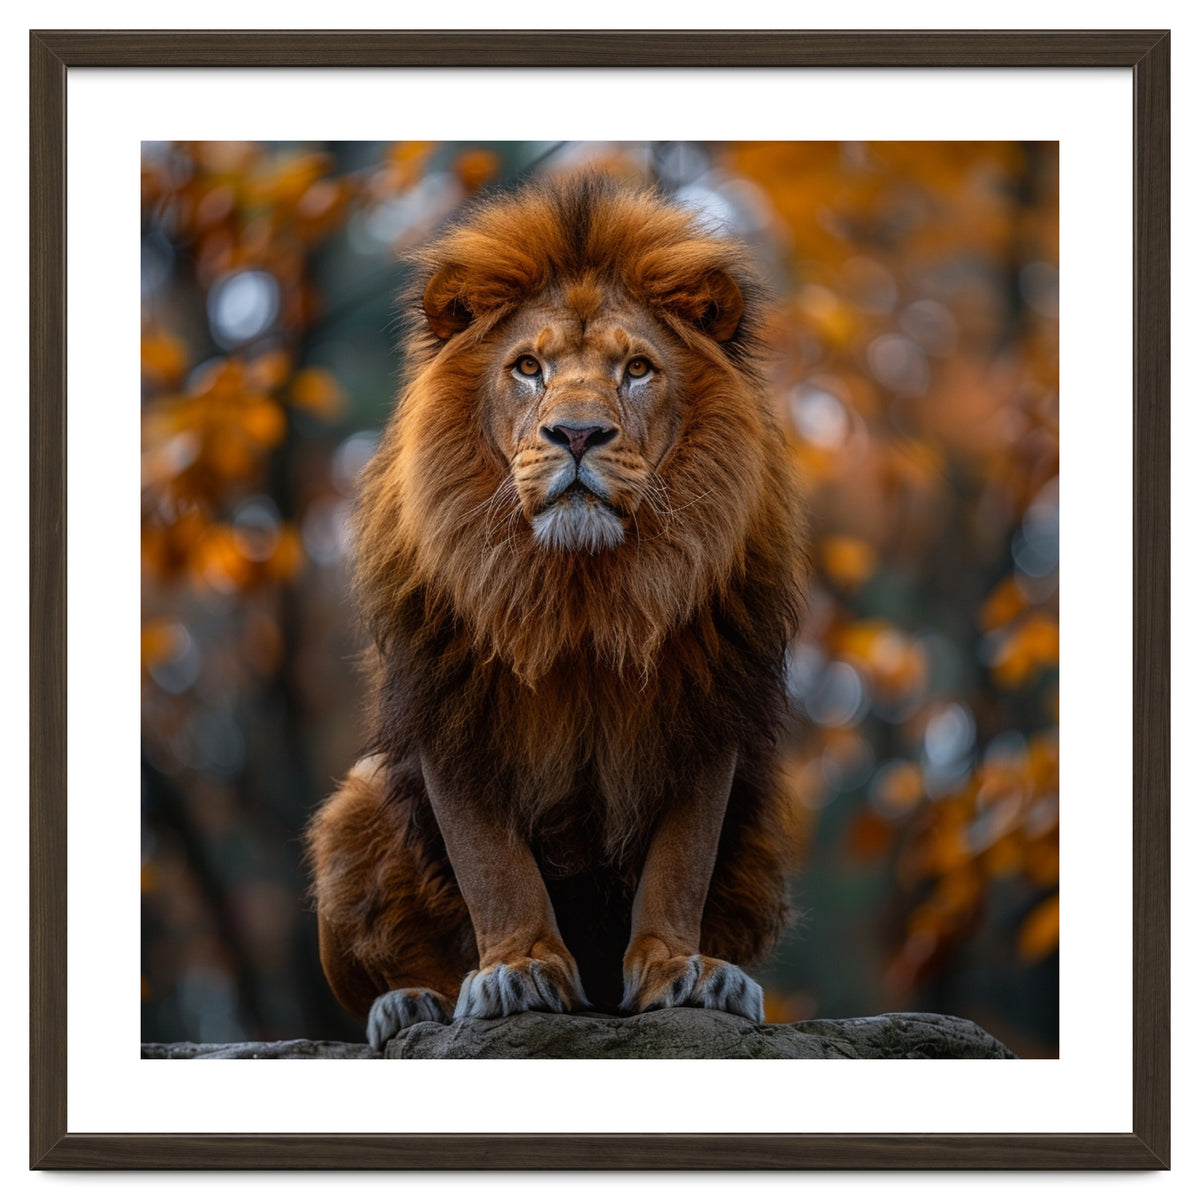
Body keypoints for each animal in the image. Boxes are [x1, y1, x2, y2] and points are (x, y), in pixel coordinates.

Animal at [306, 171, 807, 1050]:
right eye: (529, 367)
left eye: (637, 368)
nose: (576, 434)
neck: (582, 592)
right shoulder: (450, 704)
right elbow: (490, 863)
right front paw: (517, 971)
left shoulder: (708, 704)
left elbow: (681, 861)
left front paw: (683, 970)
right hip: (351, 806)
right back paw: (410, 1003)